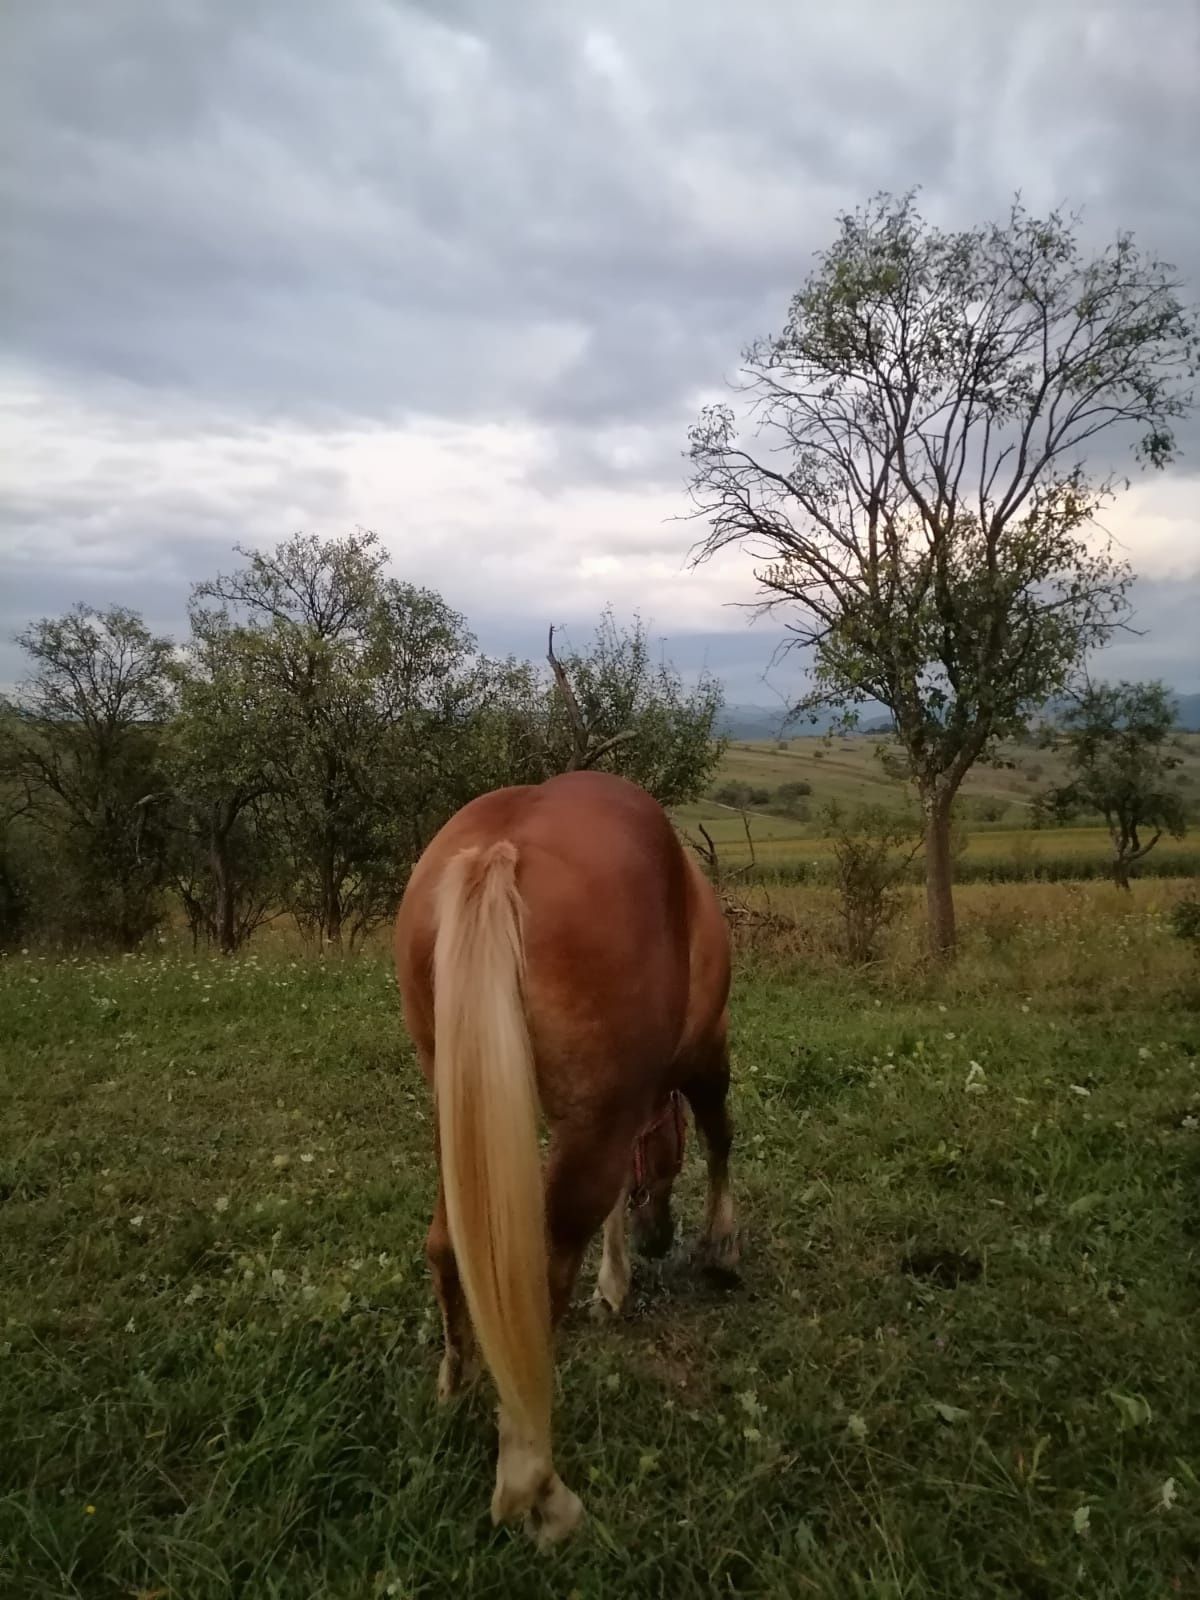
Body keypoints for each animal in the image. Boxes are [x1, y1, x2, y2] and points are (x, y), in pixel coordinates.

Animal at [395, 768, 739, 1542]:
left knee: (446, 1247)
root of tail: (500, 851)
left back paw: (456, 1386)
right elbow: (721, 1136)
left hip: (453, 1108)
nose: (659, 1238)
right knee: (538, 1274)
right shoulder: (699, 1057)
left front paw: (614, 1282)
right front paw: (720, 1248)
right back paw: (539, 1487)